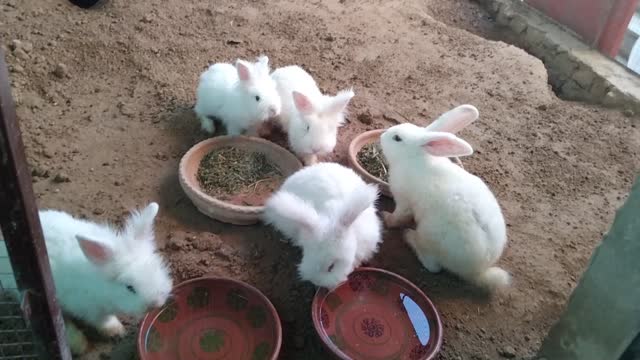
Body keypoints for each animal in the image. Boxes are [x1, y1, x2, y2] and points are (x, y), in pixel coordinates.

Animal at [41, 202, 174, 354]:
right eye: (129, 287)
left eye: (157, 269)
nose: (156, 304)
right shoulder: (90, 309)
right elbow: (103, 320)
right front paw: (117, 331)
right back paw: (80, 345)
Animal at [380, 105, 510, 292]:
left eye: (397, 138)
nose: (381, 136)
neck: (414, 157)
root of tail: (478, 271)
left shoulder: (403, 202)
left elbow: (398, 217)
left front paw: (386, 218)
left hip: (429, 233)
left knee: (433, 266)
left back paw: (409, 237)